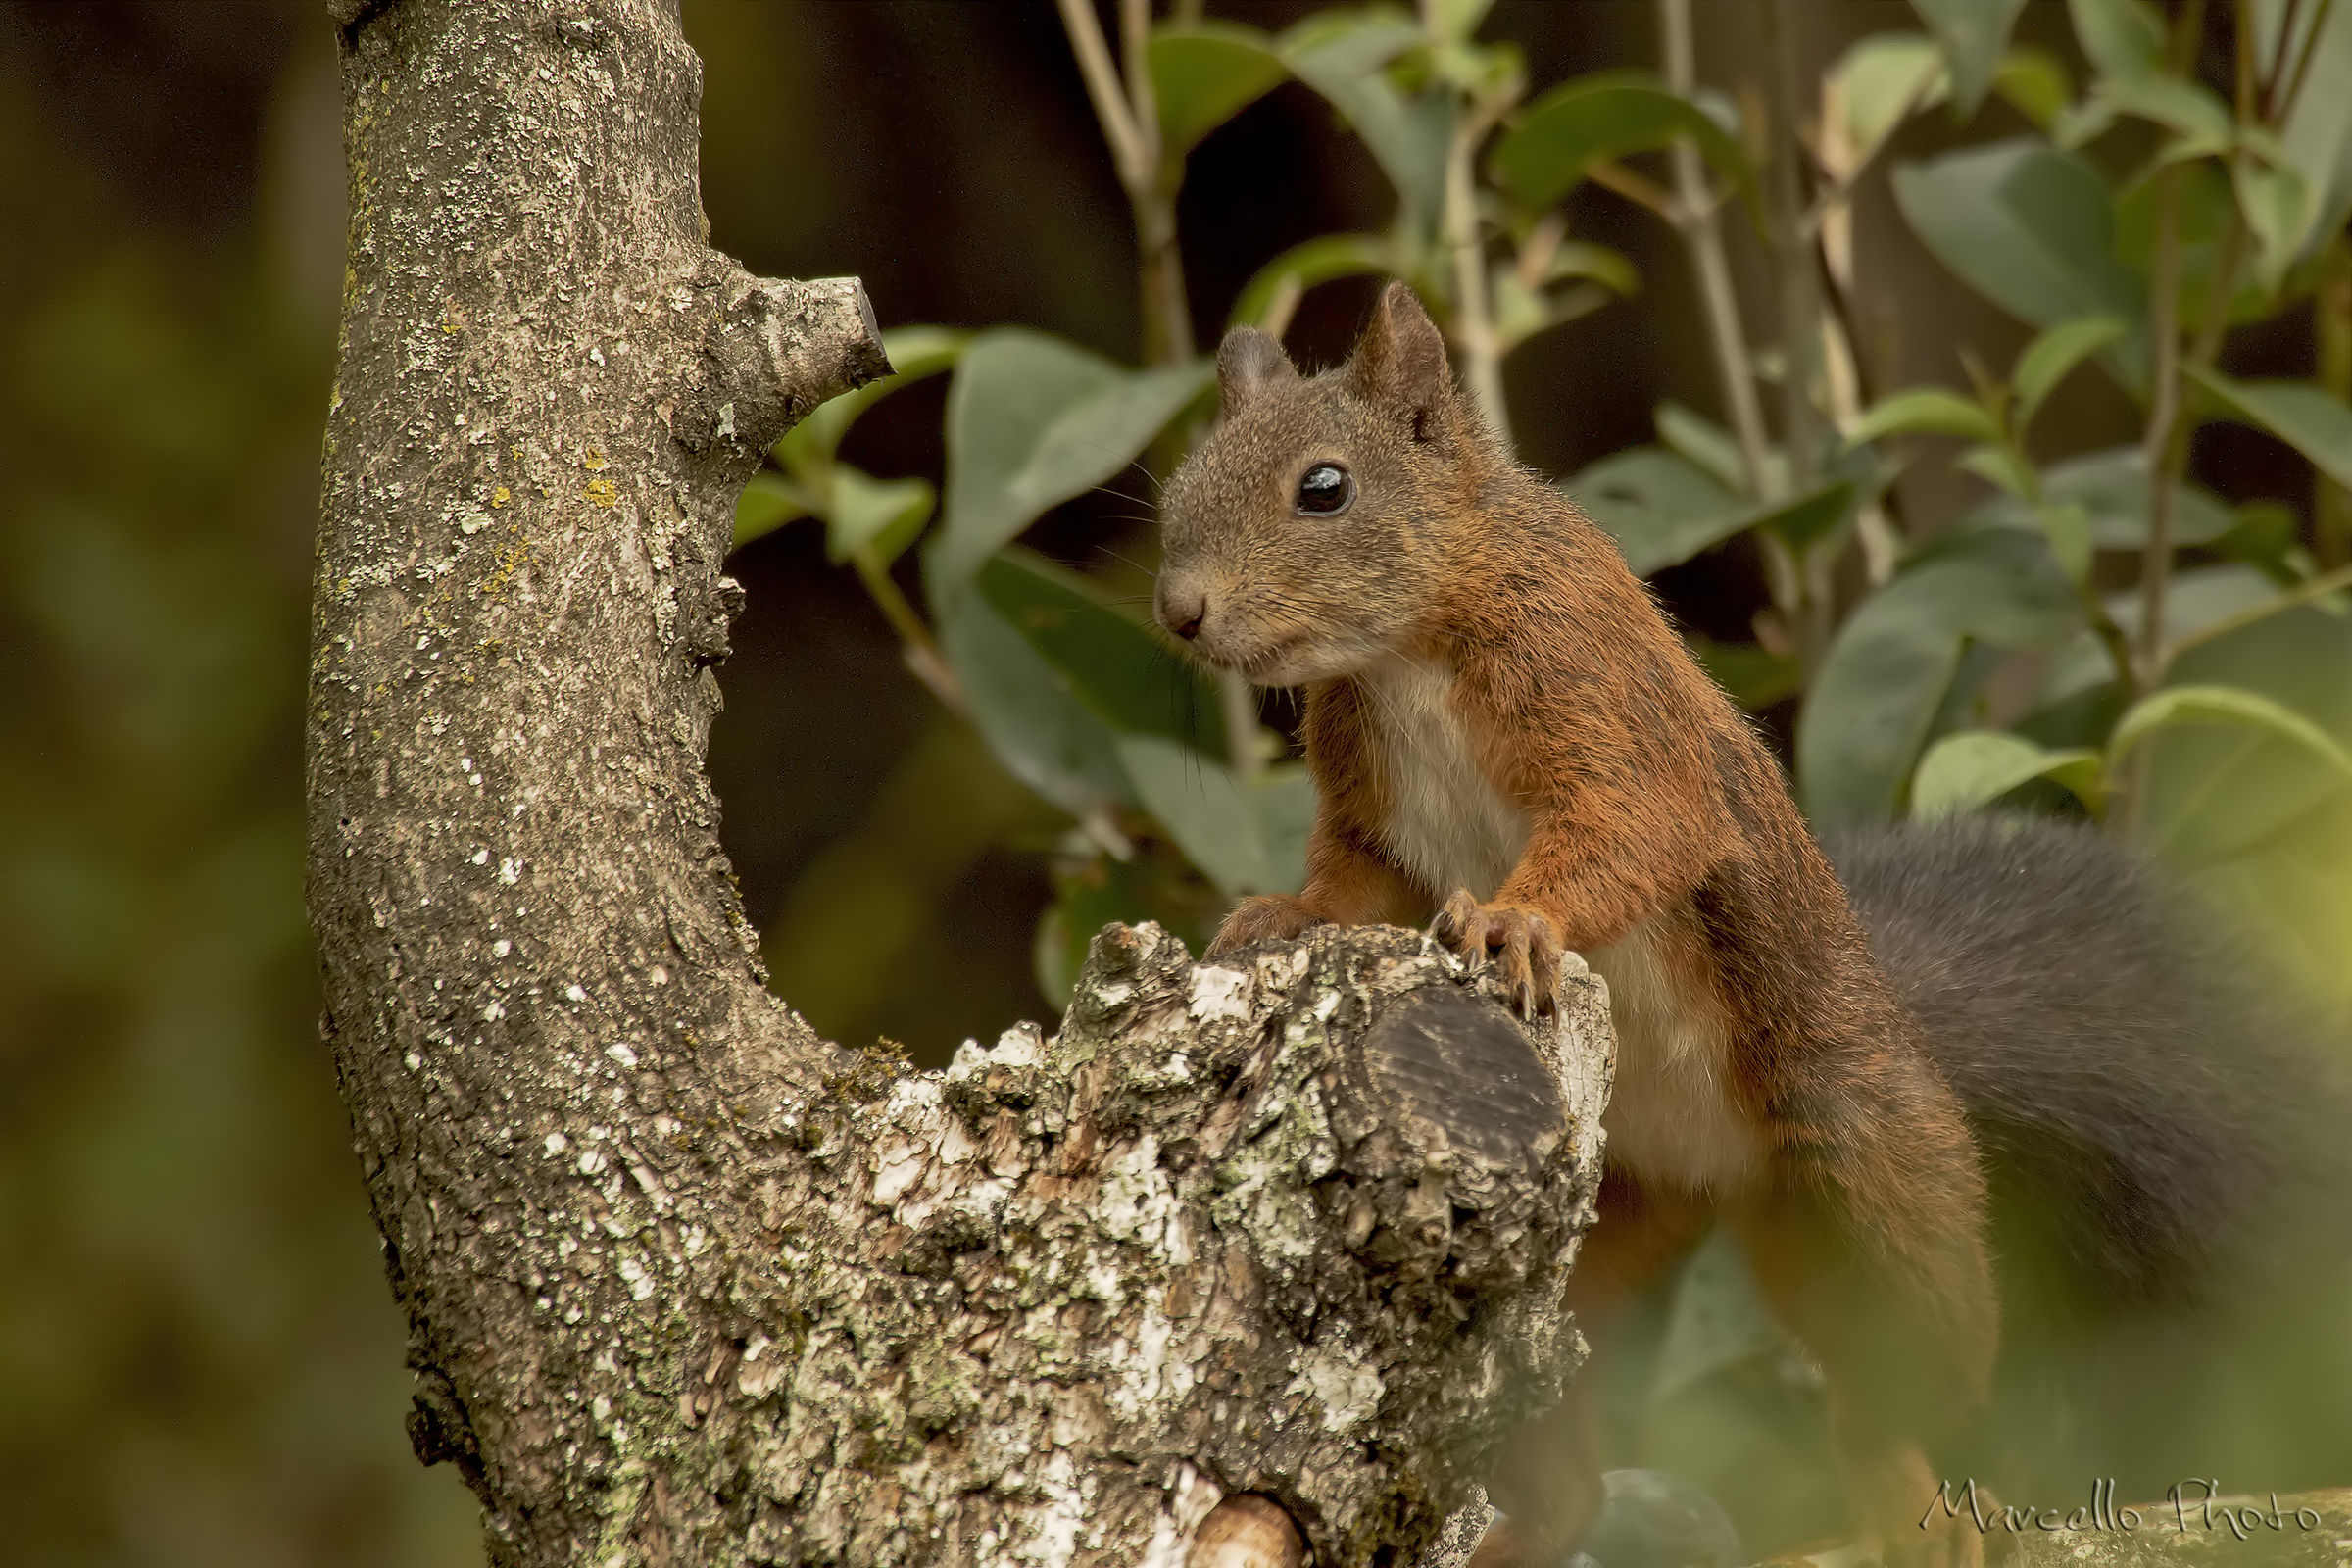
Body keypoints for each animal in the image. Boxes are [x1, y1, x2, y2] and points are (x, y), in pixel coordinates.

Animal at [1152, 281, 2345, 1568]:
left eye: (1324, 488)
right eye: (1180, 483)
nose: (1181, 611)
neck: (1403, 649)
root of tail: (1714, 1162)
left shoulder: (1595, 687)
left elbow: (1634, 822)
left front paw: (1518, 917)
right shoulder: (1373, 808)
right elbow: (1356, 886)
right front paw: (1279, 916)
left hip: (1871, 1173)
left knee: (1912, 1374)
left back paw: (1925, 1500)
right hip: (1575, 1259)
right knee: (1572, 1453)